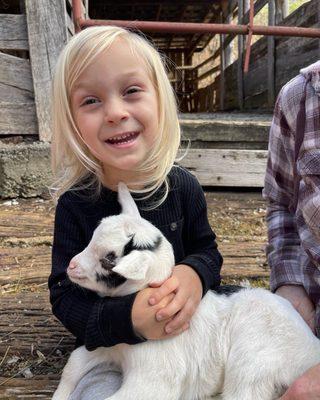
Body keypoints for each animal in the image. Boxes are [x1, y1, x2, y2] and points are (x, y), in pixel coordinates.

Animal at [52, 184, 320, 400]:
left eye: (108, 260)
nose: (71, 266)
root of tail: (310, 352)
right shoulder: (110, 343)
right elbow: (72, 366)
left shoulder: (154, 379)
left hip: (254, 358)